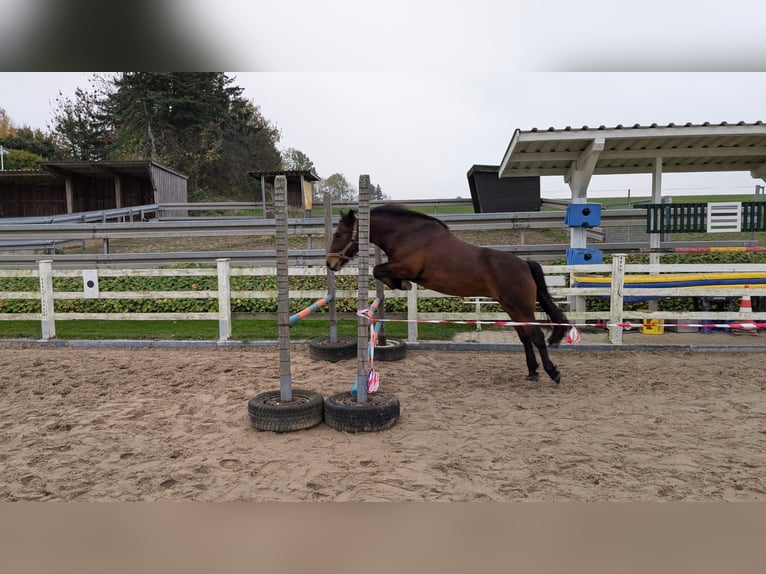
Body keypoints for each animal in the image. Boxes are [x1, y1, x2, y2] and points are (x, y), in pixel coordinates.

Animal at [326, 204, 569, 384]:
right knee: (525, 337)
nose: (330, 264)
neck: (406, 234)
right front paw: (400, 284)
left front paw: (401, 284)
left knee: (537, 337)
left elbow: (379, 270)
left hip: (520, 307)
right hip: (511, 308)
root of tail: (525, 264)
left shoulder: (406, 267)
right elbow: (379, 271)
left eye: (338, 234)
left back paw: (552, 372)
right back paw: (532, 371)